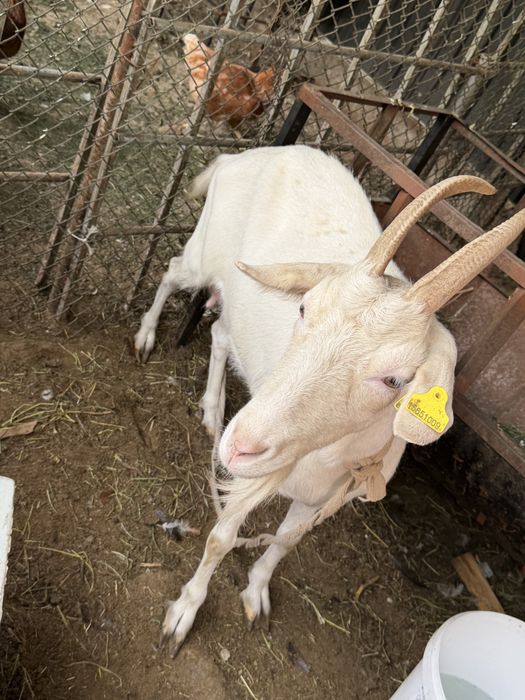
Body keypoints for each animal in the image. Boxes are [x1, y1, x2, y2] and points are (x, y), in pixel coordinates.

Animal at [134, 145, 525, 655]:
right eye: (304, 308)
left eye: (395, 379)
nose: (238, 447)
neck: (328, 458)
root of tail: (242, 155)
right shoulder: (256, 478)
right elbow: (221, 537)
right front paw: (184, 613)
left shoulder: (323, 499)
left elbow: (285, 542)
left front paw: (256, 594)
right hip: (204, 254)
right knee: (172, 270)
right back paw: (145, 336)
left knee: (220, 332)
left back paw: (213, 410)